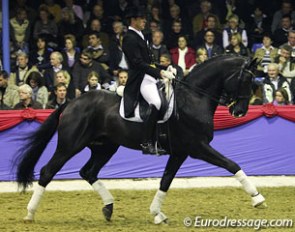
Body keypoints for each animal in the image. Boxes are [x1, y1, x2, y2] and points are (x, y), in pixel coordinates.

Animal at [15, 55, 266, 224]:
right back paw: (29, 214)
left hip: (105, 147)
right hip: (70, 145)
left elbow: (166, 181)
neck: (194, 97)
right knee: (48, 171)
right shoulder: (197, 147)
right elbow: (231, 164)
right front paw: (257, 198)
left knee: (88, 172)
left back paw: (108, 207)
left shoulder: (180, 152)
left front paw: (157, 213)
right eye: (246, 80)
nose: (240, 112)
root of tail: (71, 102)